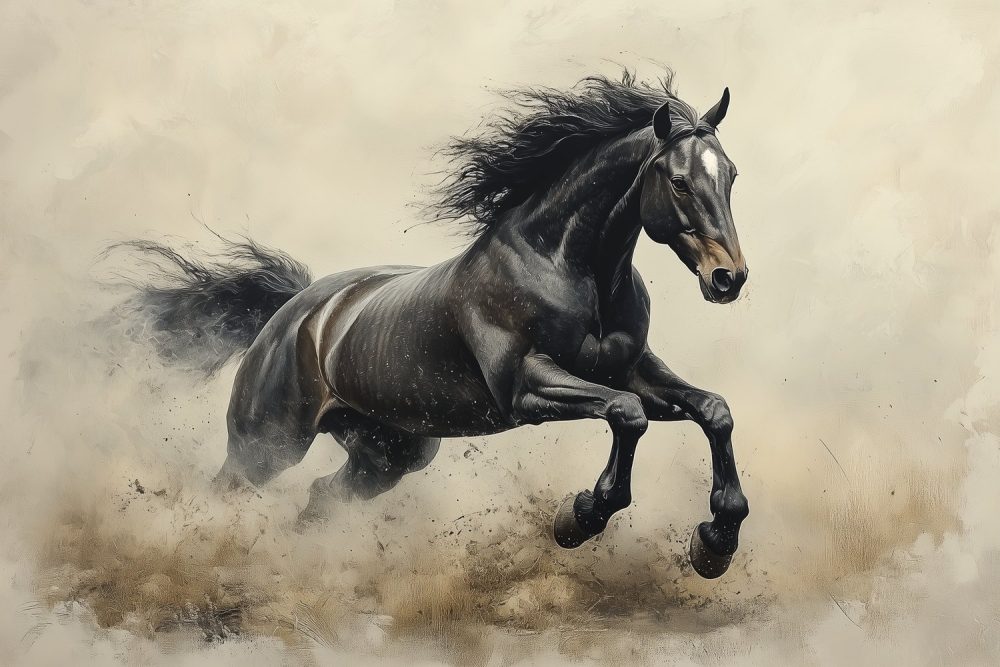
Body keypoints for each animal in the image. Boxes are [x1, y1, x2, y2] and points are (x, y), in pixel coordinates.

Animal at [120, 71, 749, 579]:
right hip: (267, 444)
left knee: (322, 497)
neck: (566, 265)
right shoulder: (525, 387)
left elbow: (712, 410)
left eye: (732, 175)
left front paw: (715, 543)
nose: (729, 278)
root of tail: (296, 311)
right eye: (679, 181)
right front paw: (580, 517)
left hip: (389, 454)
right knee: (227, 489)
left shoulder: (631, 369)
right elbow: (627, 413)